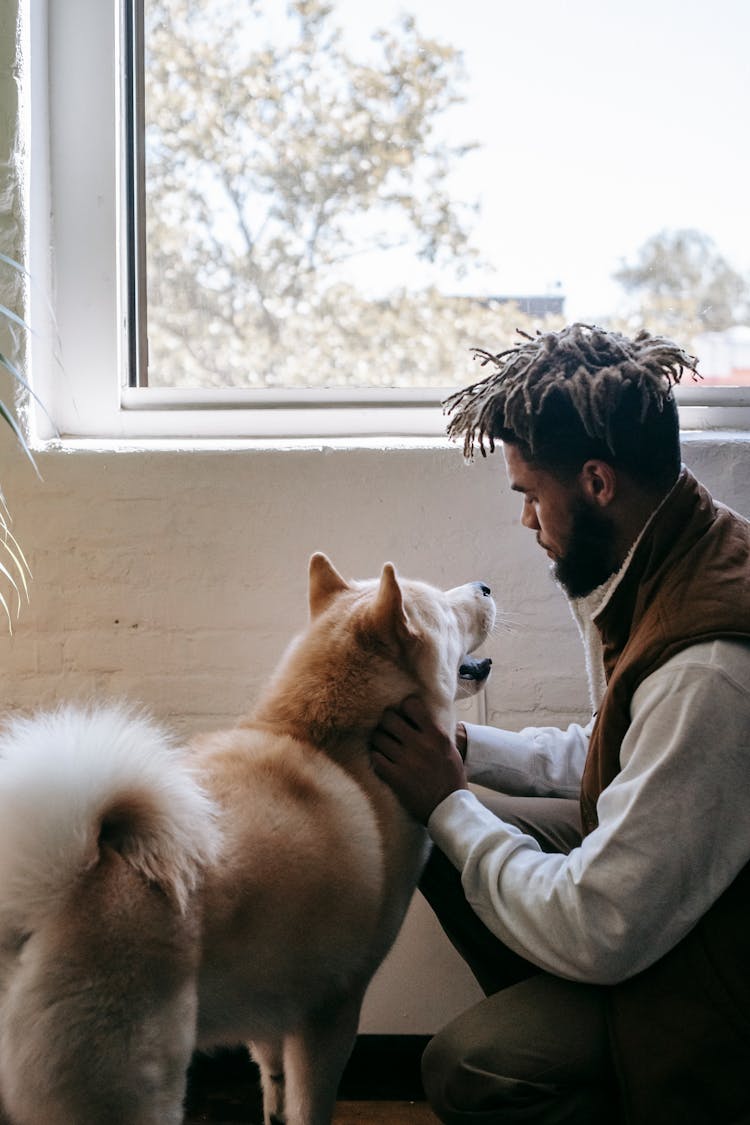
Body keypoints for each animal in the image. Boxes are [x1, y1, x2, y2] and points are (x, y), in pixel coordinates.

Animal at [0, 555, 492, 1125]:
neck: (336, 744)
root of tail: (42, 894)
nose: (485, 585)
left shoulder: (270, 998)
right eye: (446, 608)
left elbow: (273, 1085)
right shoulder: (330, 1011)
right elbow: (310, 1105)